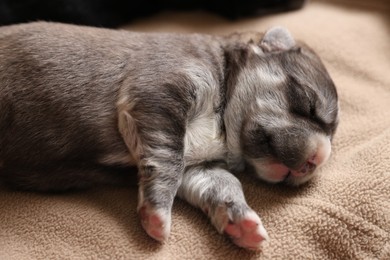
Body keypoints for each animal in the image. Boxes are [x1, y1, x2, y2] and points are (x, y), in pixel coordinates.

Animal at [0, 22, 338, 250]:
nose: (317, 159)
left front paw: (243, 225)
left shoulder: (200, 169)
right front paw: (157, 216)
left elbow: (224, 183)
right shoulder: (159, 90)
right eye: (308, 105)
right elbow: (168, 159)